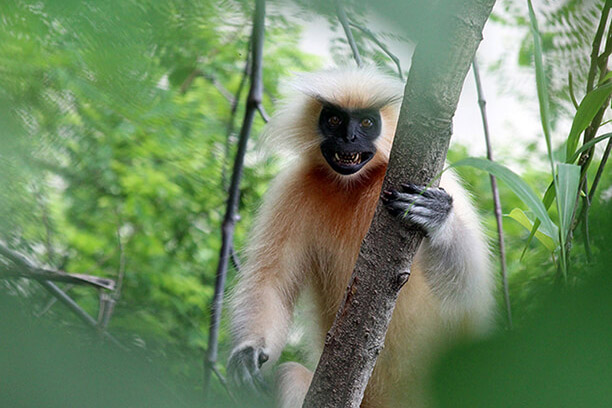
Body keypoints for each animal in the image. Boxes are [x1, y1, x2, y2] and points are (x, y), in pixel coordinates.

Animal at [227, 67, 494, 408]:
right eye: (334, 120)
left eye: (367, 123)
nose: (348, 138)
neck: (355, 185)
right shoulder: (295, 187)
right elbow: (273, 283)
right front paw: (247, 353)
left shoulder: (436, 179)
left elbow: (468, 297)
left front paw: (437, 215)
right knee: (290, 374)